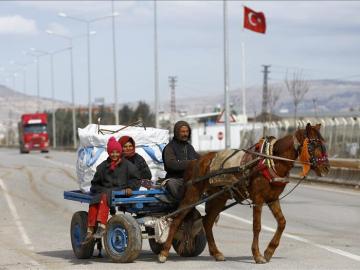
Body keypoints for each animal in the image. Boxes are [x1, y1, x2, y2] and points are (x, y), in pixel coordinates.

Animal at [159, 123, 330, 262]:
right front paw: (257, 255)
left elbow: (282, 222)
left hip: (219, 197)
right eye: (314, 144)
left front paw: (269, 251)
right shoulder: (258, 199)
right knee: (177, 219)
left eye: (323, 143)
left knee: (207, 221)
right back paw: (164, 253)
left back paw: (216, 253)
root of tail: (195, 162)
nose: (326, 168)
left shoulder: (272, 198)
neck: (269, 161)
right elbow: (257, 226)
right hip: (193, 194)